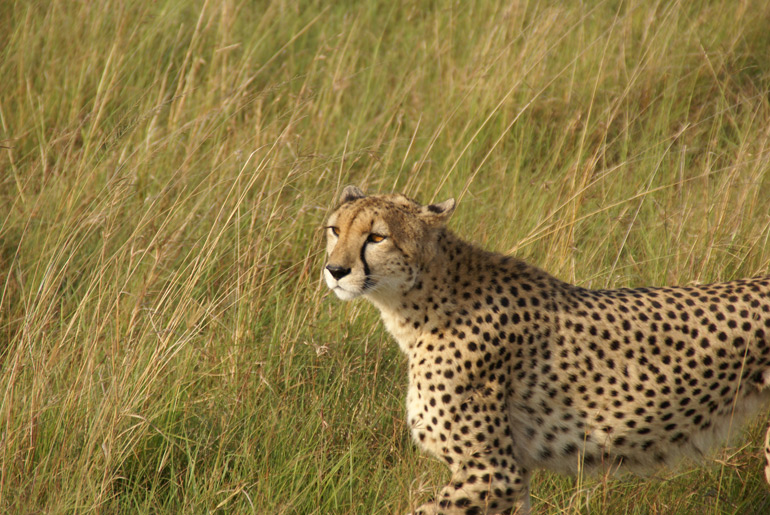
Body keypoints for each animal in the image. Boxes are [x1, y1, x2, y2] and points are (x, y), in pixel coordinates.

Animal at [323, 185, 770, 514]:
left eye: (377, 237)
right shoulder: (510, 477)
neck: (419, 303)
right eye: (334, 231)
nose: (335, 270)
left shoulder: (493, 472)